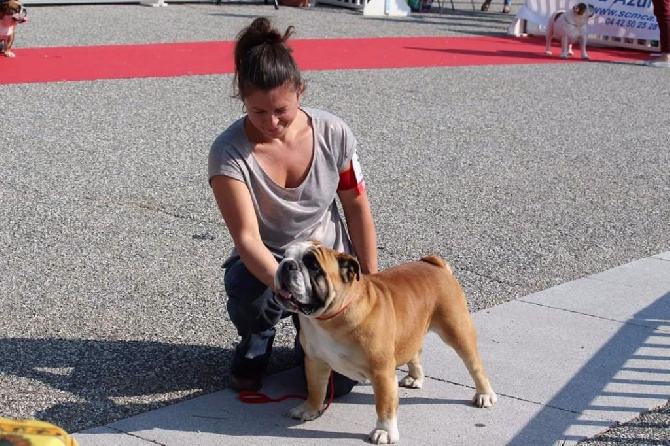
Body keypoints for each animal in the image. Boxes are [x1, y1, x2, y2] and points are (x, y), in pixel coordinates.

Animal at [274, 242, 498, 444]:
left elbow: (385, 406)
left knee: (475, 365)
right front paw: (309, 409)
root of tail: (434, 264)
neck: (328, 318)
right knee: (415, 351)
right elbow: (316, 388)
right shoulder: (315, 361)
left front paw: (384, 432)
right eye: (284, 255)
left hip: (457, 329)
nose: (286, 264)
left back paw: (485, 394)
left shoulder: (381, 374)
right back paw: (415, 378)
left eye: (313, 266)